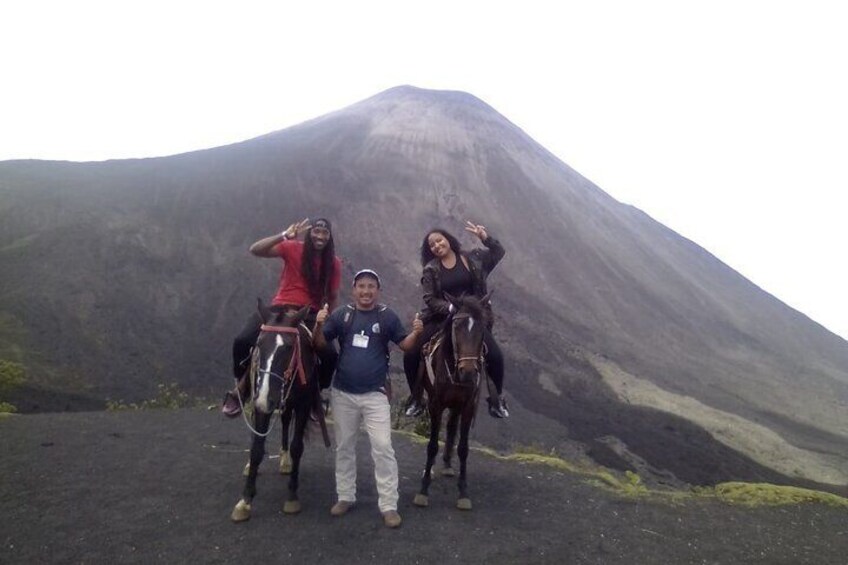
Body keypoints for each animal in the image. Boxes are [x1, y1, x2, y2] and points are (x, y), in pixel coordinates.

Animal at [230, 304, 326, 520]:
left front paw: (292, 497)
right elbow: (257, 448)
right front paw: (245, 501)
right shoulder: (262, 405)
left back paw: (285, 459)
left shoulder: (302, 405)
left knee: (285, 420)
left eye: (289, 347)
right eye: (258, 344)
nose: (266, 397)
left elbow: (297, 447)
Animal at [412, 294, 486, 508]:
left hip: (456, 405)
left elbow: (463, 449)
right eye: (456, 327)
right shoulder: (435, 404)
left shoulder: (468, 406)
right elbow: (432, 446)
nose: (468, 372)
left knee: (452, 427)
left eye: (482, 329)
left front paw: (463, 493)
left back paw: (447, 464)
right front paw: (423, 489)